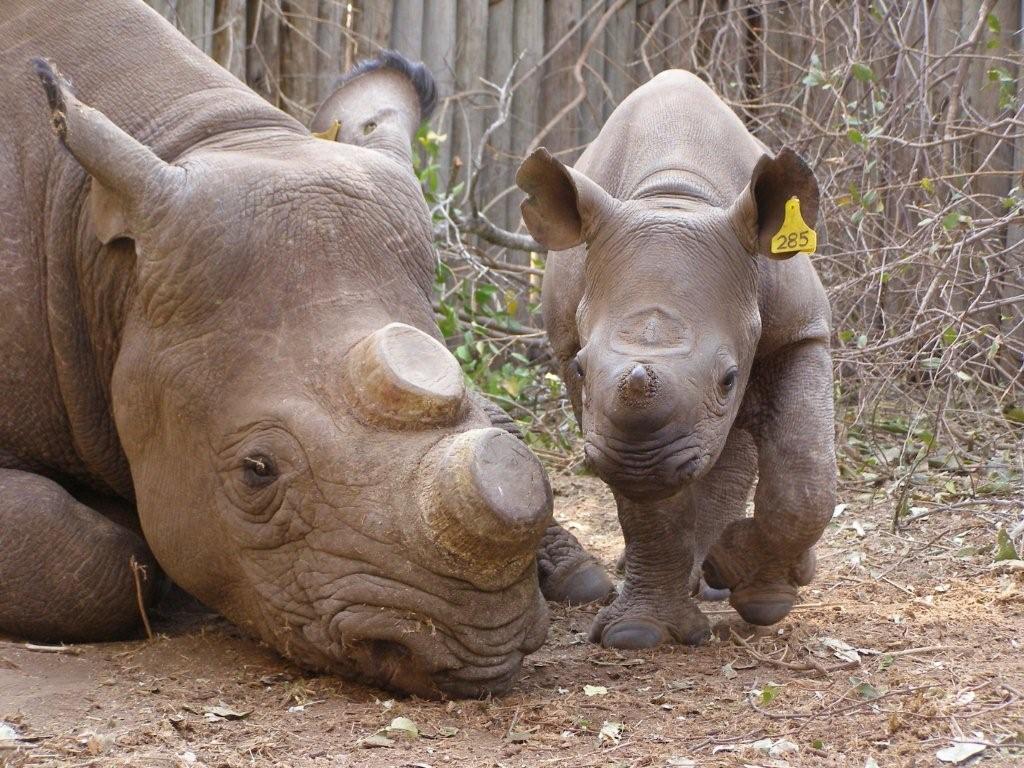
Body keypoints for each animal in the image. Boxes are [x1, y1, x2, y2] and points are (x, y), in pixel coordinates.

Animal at [516, 70, 835, 651]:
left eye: (729, 379)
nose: (638, 462)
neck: (675, 200)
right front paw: (638, 633)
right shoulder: (581, 364)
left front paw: (739, 570)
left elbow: (806, 475)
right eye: (581, 370)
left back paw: (747, 588)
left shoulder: (802, 330)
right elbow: (646, 507)